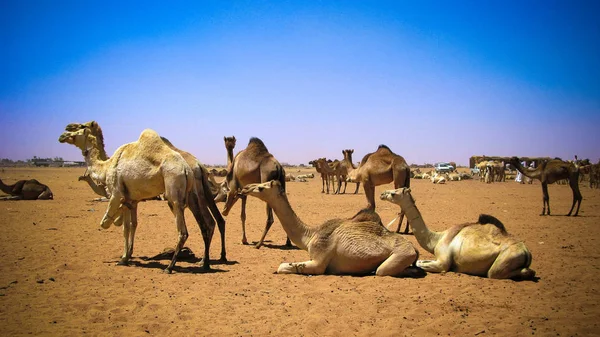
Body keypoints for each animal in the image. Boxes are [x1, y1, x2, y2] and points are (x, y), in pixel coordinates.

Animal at [240, 180, 422, 276]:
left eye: (261, 187)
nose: (245, 187)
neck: (310, 235)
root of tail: (414, 248)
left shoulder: (319, 261)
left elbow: (283, 266)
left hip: (401, 255)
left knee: (385, 270)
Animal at [380, 186, 536, 278]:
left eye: (393, 193)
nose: (382, 194)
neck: (436, 238)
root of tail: (526, 251)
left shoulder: (443, 262)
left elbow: (424, 264)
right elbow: (420, 261)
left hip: (504, 260)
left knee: (499, 273)